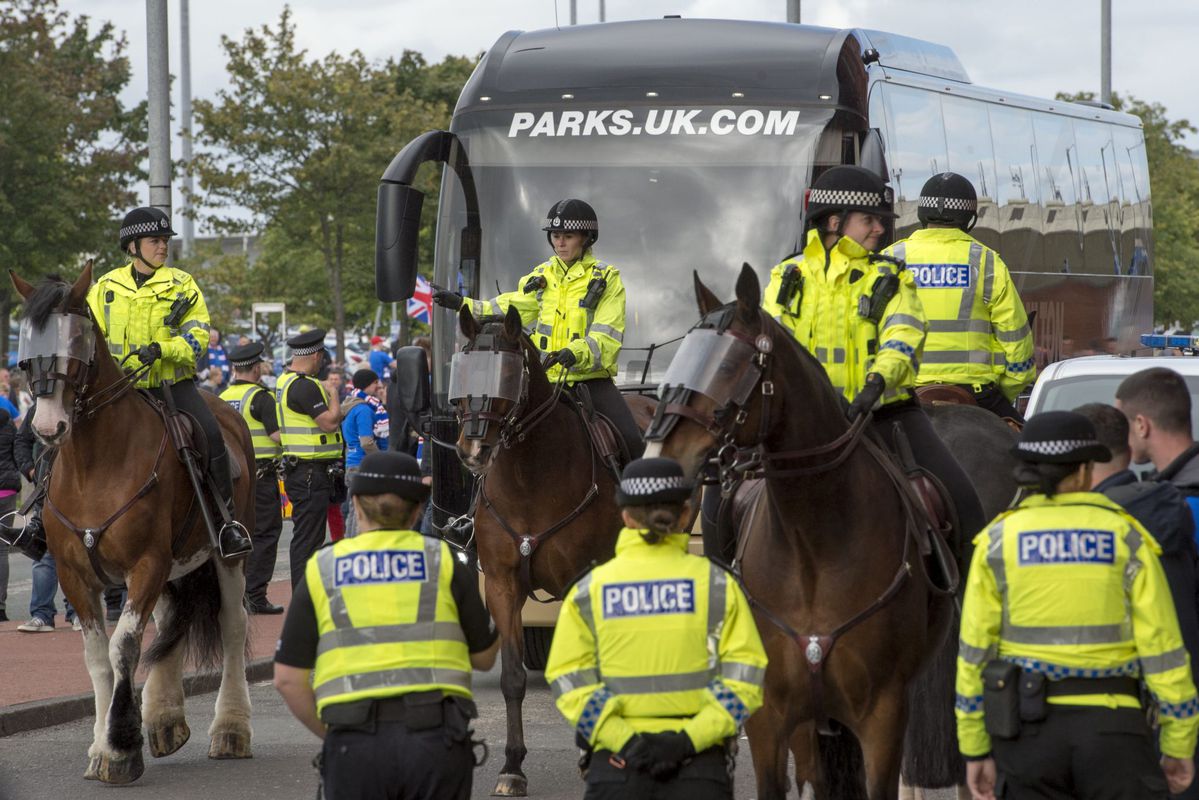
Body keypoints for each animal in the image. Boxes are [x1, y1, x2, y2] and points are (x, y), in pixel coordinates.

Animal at [9, 267, 254, 782]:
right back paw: (164, 720)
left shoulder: (145, 564)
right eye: (26, 341)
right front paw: (102, 743)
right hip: (172, 569)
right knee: (168, 623)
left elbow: (124, 647)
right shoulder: (76, 575)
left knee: (232, 625)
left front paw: (120, 748)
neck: (95, 464)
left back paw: (230, 729)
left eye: (77, 337)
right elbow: (99, 657)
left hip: (226, 556)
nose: (47, 426)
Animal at [450, 304, 657, 796]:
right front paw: (512, 767)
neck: (531, 476)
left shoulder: (578, 579)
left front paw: (587, 757)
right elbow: (513, 678)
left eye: (507, 374)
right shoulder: (502, 586)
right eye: (462, 369)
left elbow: (584, 673)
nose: (472, 448)